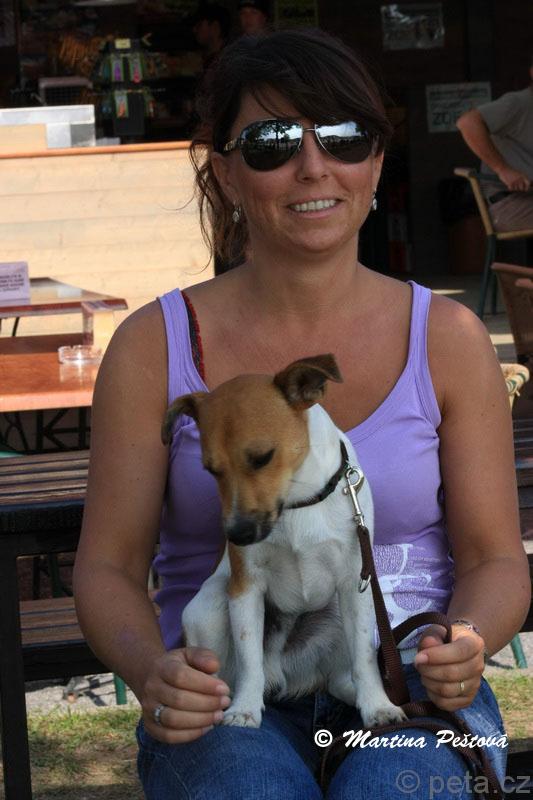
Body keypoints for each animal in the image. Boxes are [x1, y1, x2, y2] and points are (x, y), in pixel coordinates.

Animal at [162, 354, 405, 730]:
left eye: (262, 457)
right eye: (210, 470)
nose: (238, 536)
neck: (298, 503)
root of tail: (284, 674)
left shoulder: (355, 584)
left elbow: (365, 659)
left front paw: (378, 706)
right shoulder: (245, 588)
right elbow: (249, 662)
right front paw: (245, 709)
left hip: (336, 615)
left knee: (339, 678)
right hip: (211, 607)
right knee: (224, 680)